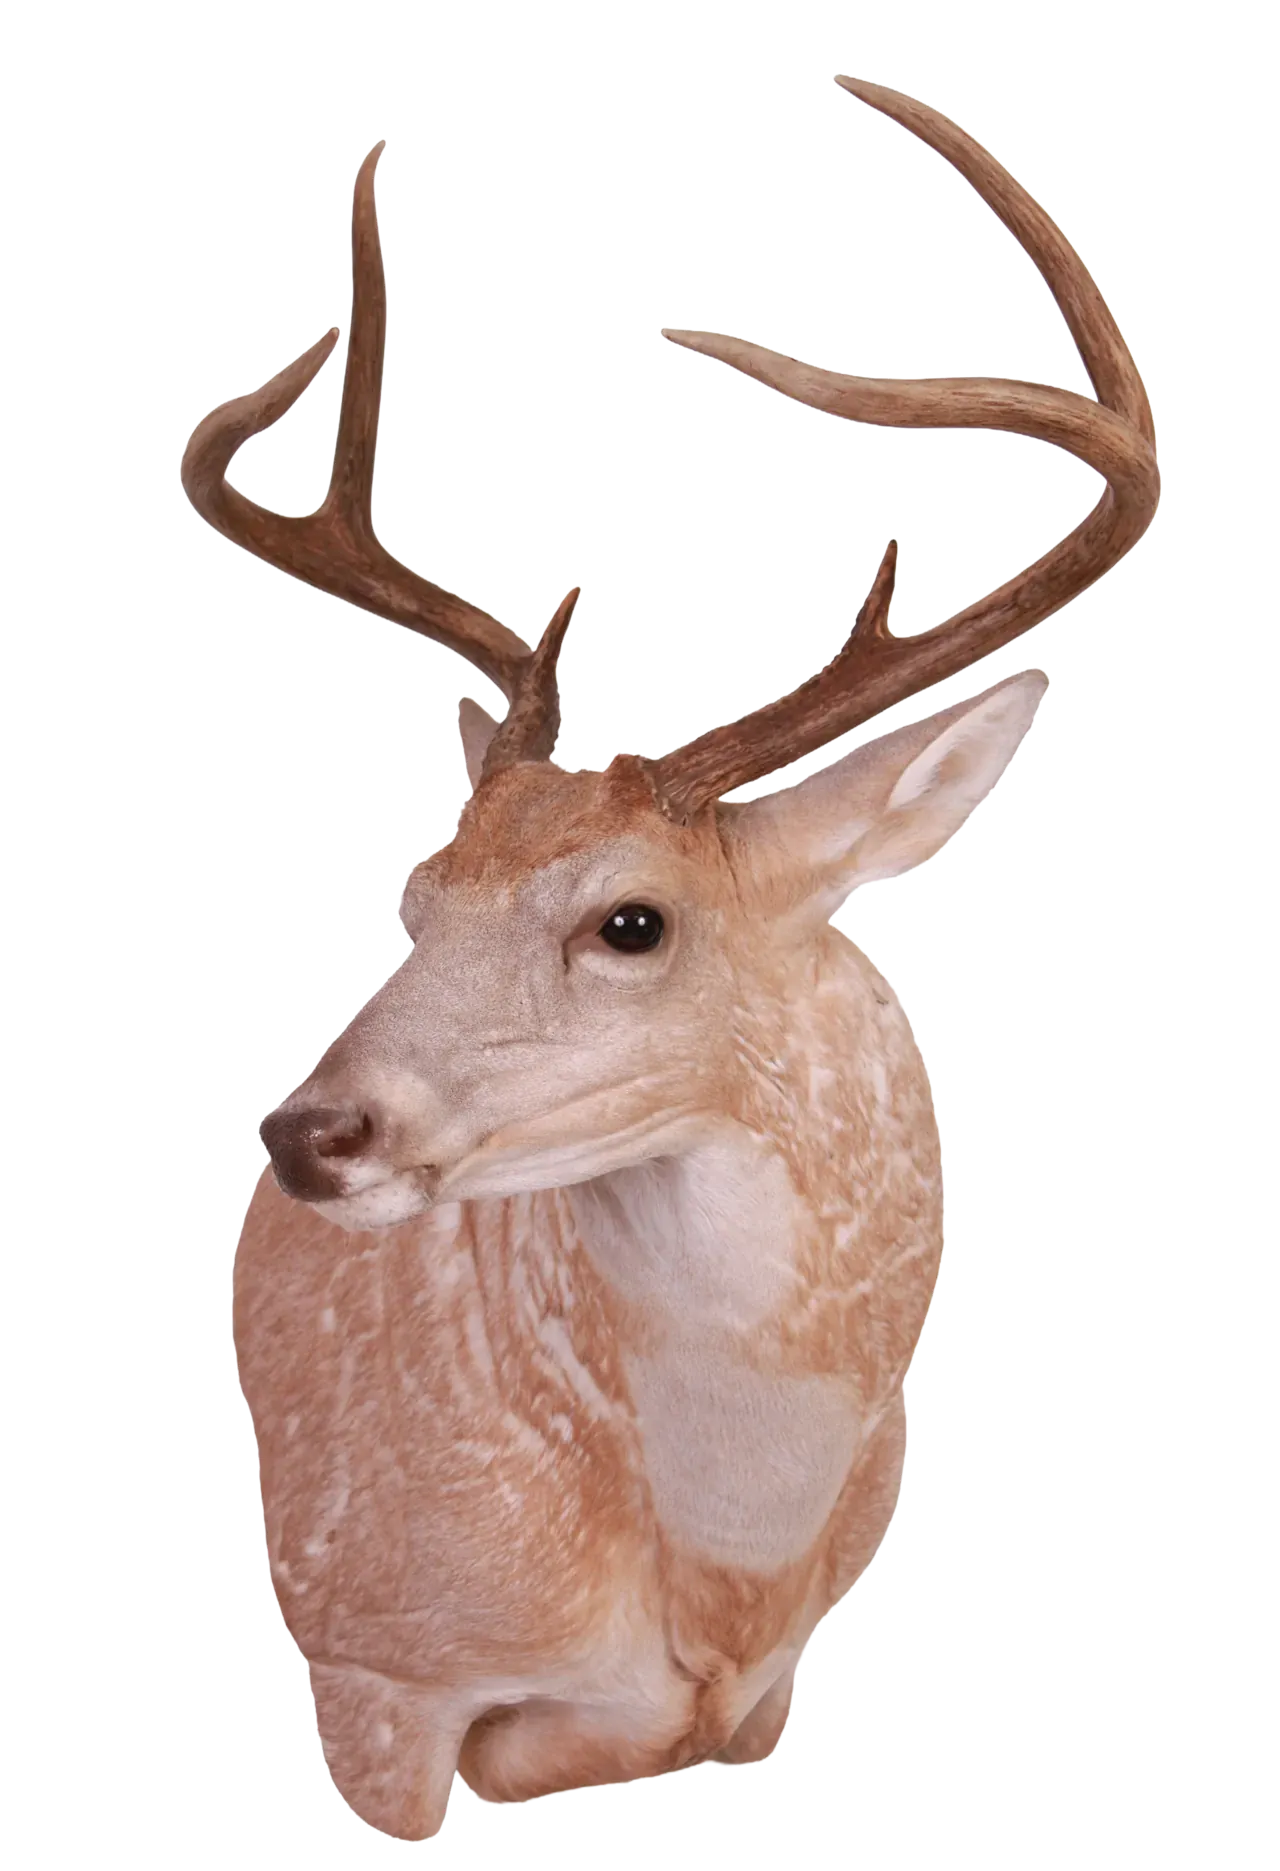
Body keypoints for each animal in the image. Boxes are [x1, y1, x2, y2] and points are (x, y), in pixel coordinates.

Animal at [188, 78, 1161, 1841]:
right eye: (413, 896)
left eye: (629, 918)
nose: (313, 1130)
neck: (716, 1577)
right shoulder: (369, 1664)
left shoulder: (764, 1701)